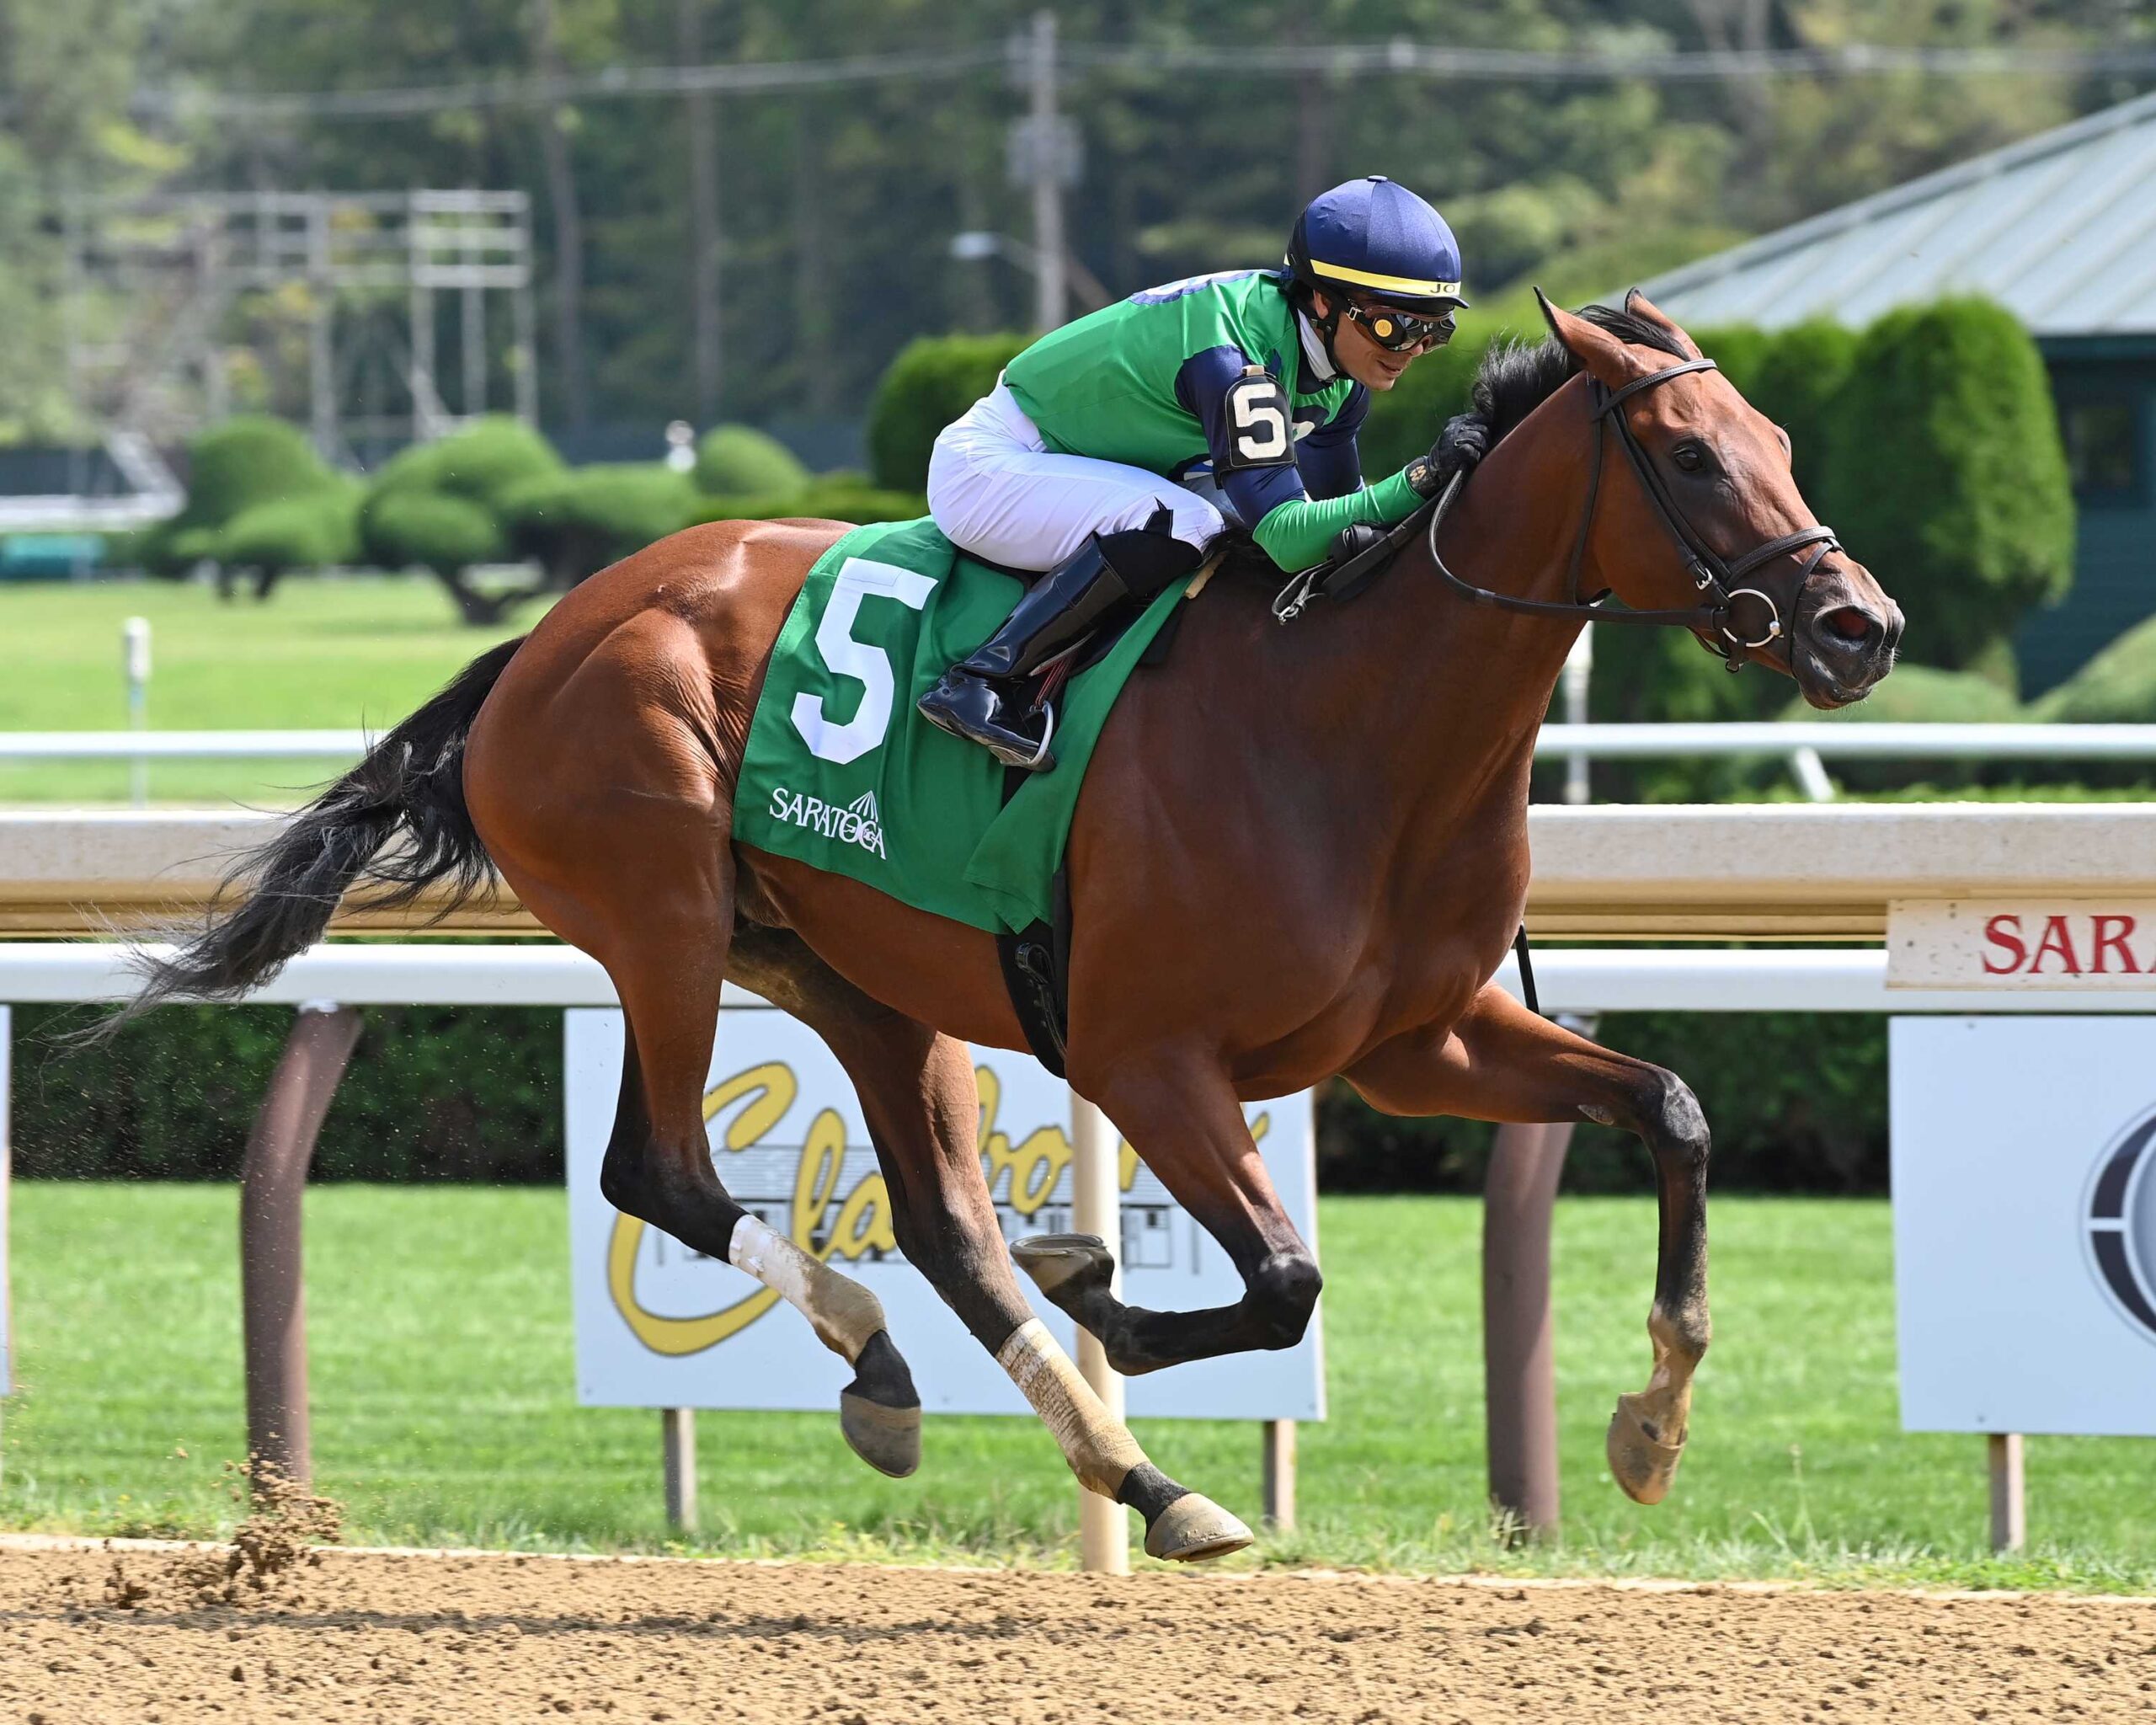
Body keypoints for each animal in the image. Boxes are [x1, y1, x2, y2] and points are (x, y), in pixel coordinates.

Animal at [116, 290, 1901, 1563]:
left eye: (1781, 432)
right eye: (1689, 457)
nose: (1858, 624)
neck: (1355, 726)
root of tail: (548, 635)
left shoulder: (1422, 1039)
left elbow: (1671, 1107)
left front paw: (1651, 1423)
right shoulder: (1147, 1049)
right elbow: (1286, 1278)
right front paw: (1107, 1281)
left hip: (854, 974)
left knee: (943, 1230)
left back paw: (1109, 1462)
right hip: (663, 918)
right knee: (665, 1171)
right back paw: (930, 1364)